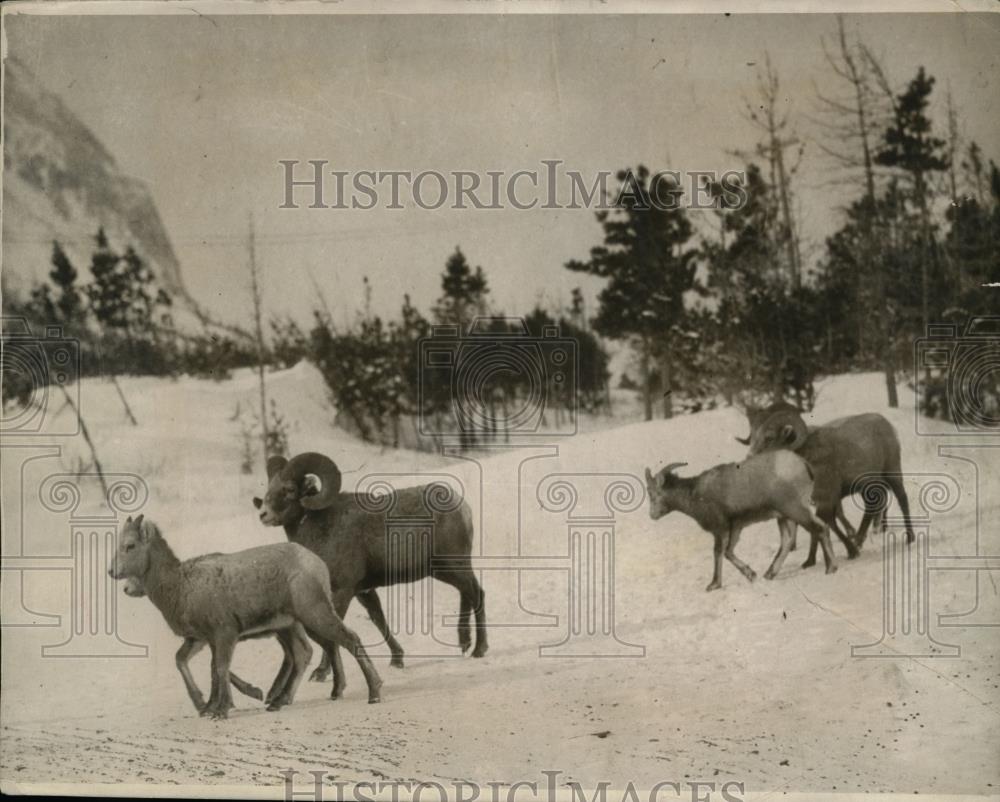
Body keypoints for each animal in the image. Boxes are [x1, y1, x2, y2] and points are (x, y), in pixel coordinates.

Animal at [108, 512, 382, 720]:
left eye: (130, 546)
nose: (113, 573)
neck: (180, 586)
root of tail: (316, 564)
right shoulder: (202, 639)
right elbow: (192, 663)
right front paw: (207, 705)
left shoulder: (224, 634)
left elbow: (220, 667)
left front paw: (220, 710)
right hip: (293, 625)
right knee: (309, 651)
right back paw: (287, 699)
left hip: (313, 615)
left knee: (348, 640)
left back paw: (374, 693)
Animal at [254, 450, 488, 692]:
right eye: (270, 487)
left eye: (289, 489)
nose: (263, 514)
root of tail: (462, 507)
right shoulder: (363, 592)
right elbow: (378, 619)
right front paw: (397, 659)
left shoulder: (342, 592)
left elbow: (335, 632)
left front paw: (320, 673)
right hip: (448, 571)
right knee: (466, 594)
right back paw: (464, 643)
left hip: (452, 567)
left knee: (477, 594)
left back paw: (479, 649)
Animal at [644, 450, 840, 588]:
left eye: (654, 493)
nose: (652, 515)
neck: (695, 495)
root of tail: (804, 465)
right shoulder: (736, 527)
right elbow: (729, 552)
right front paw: (751, 574)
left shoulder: (720, 528)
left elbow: (718, 552)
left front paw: (714, 585)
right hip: (785, 516)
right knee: (789, 540)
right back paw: (769, 574)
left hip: (794, 509)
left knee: (819, 529)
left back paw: (831, 568)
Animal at [740, 398, 916, 564]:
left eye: (769, 438)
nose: (749, 458)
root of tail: (886, 423)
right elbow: (822, 525)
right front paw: (810, 561)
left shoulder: (827, 497)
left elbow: (826, 524)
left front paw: (849, 552)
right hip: (868, 485)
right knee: (871, 508)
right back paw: (859, 540)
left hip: (892, 472)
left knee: (902, 499)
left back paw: (909, 538)